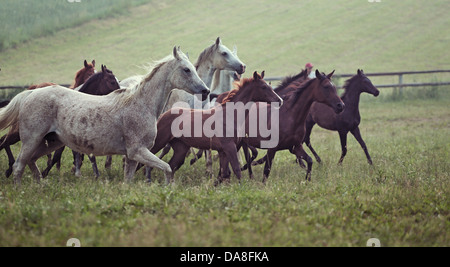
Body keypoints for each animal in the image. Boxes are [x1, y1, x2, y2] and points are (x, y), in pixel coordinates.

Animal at [0, 47, 209, 186]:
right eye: (186, 69)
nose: (205, 91)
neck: (141, 104)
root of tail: (30, 93)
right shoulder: (138, 151)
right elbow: (167, 168)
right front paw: (168, 187)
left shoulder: (132, 157)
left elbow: (128, 180)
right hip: (32, 139)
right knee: (19, 165)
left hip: (51, 142)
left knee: (31, 161)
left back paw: (40, 187)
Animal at [147, 71, 282, 184]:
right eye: (264, 87)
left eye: (270, 86)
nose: (280, 100)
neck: (230, 115)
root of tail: (163, 115)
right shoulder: (229, 147)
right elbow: (236, 170)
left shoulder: (223, 151)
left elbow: (224, 174)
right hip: (159, 142)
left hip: (181, 148)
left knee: (171, 165)